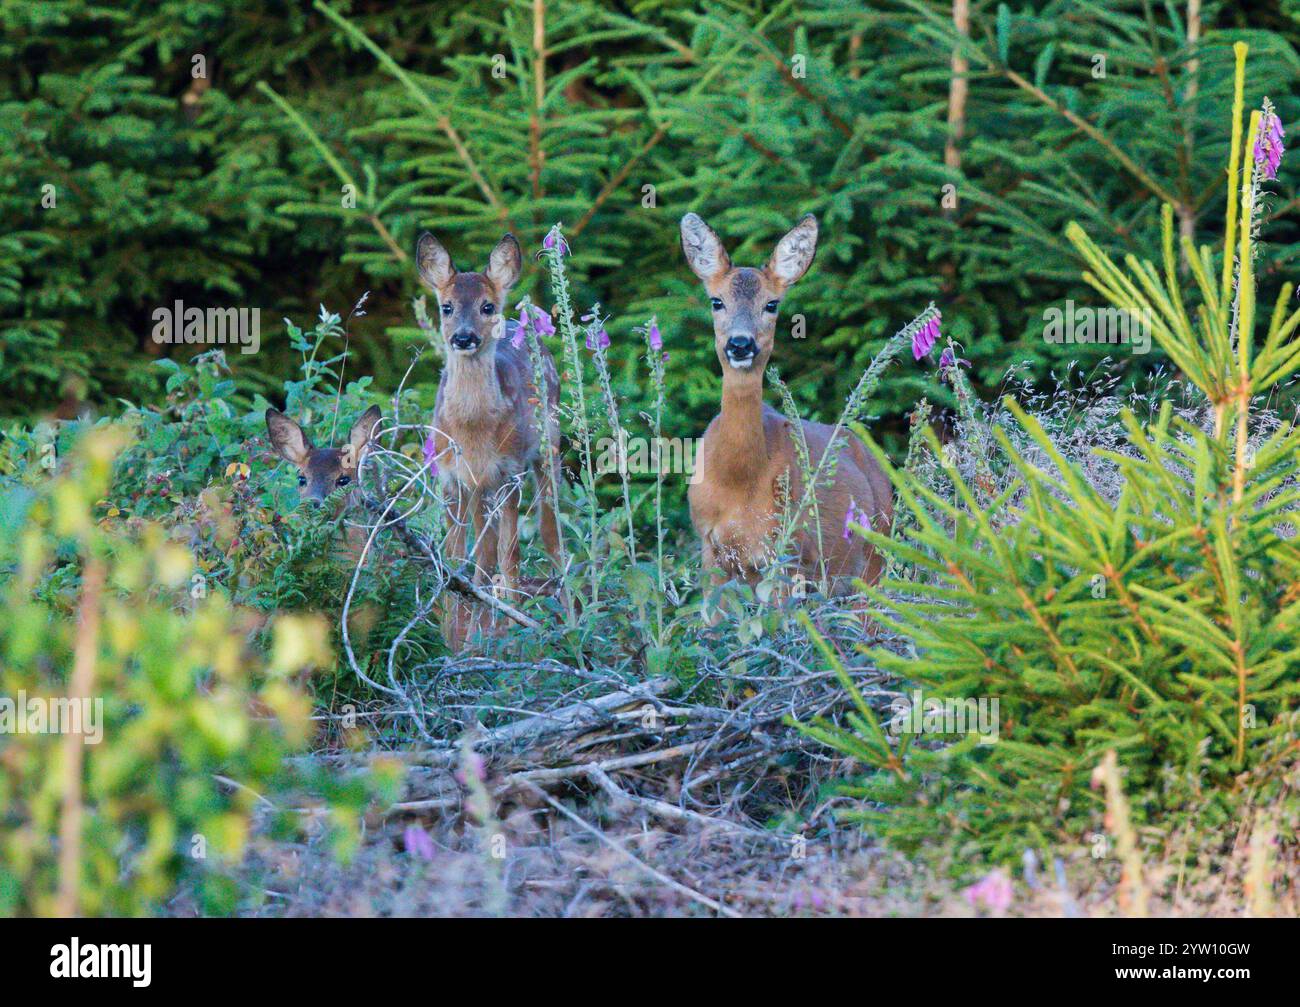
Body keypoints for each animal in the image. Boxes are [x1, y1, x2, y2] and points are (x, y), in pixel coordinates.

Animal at [416, 232, 559, 602]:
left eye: (487, 306)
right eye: (446, 306)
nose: (464, 337)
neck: (472, 432)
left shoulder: (510, 471)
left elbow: (511, 556)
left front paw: (511, 607)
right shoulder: (450, 475)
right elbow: (455, 554)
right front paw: (454, 605)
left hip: (548, 445)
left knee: (549, 530)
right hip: (480, 486)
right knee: (487, 546)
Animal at [681, 211, 894, 602]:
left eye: (772, 304)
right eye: (716, 301)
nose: (740, 344)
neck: (738, 482)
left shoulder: (789, 553)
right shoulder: (709, 549)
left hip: (875, 555)